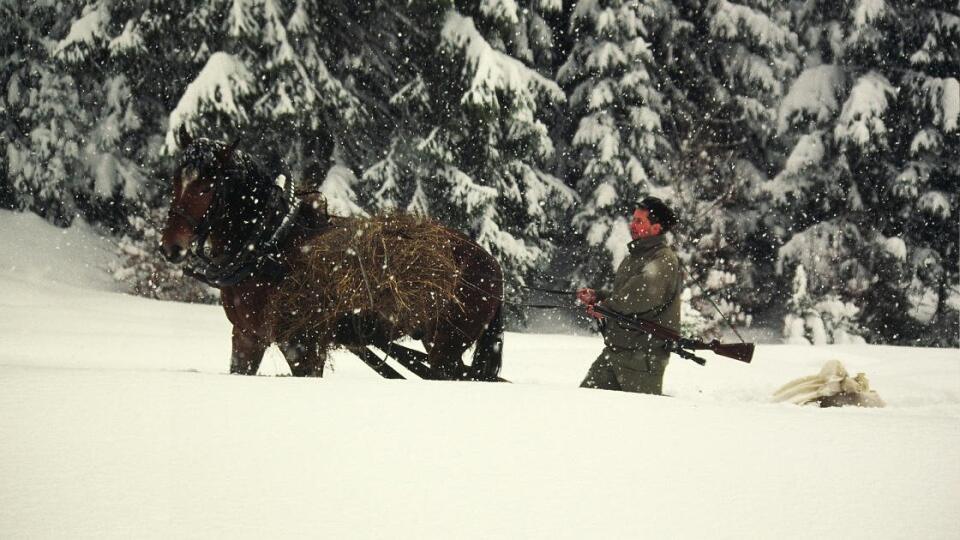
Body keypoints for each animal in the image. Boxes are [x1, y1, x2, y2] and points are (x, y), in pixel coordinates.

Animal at [159, 132, 502, 380]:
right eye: (176, 180)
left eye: (207, 188)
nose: (171, 247)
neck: (271, 244)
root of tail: (491, 264)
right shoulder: (247, 337)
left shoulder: (303, 346)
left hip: (446, 349)